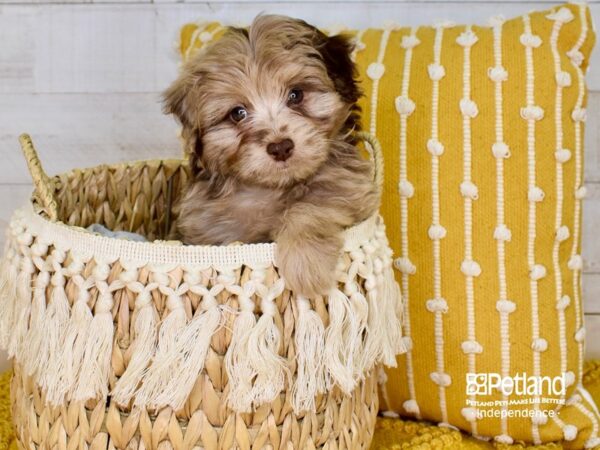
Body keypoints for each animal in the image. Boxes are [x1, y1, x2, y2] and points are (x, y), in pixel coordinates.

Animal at [164, 14, 380, 296]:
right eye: (237, 113)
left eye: (296, 95)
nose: (280, 147)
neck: (271, 189)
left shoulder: (350, 187)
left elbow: (310, 205)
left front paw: (305, 263)